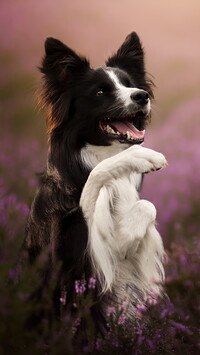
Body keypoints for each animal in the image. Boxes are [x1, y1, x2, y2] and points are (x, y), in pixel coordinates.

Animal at [18, 32, 166, 332]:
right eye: (99, 93)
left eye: (130, 85)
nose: (141, 96)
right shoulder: (74, 253)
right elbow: (95, 184)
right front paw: (143, 156)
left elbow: (146, 206)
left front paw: (127, 236)